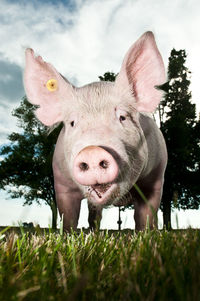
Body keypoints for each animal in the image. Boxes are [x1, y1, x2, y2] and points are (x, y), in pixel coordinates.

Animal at [23, 31, 167, 230]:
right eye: (72, 123)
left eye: (122, 117)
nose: (92, 151)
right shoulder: (61, 183)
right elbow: (68, 216)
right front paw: (68, 233)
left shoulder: (156, 178)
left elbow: (146, 217)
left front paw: (145, 234)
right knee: (94, 215)